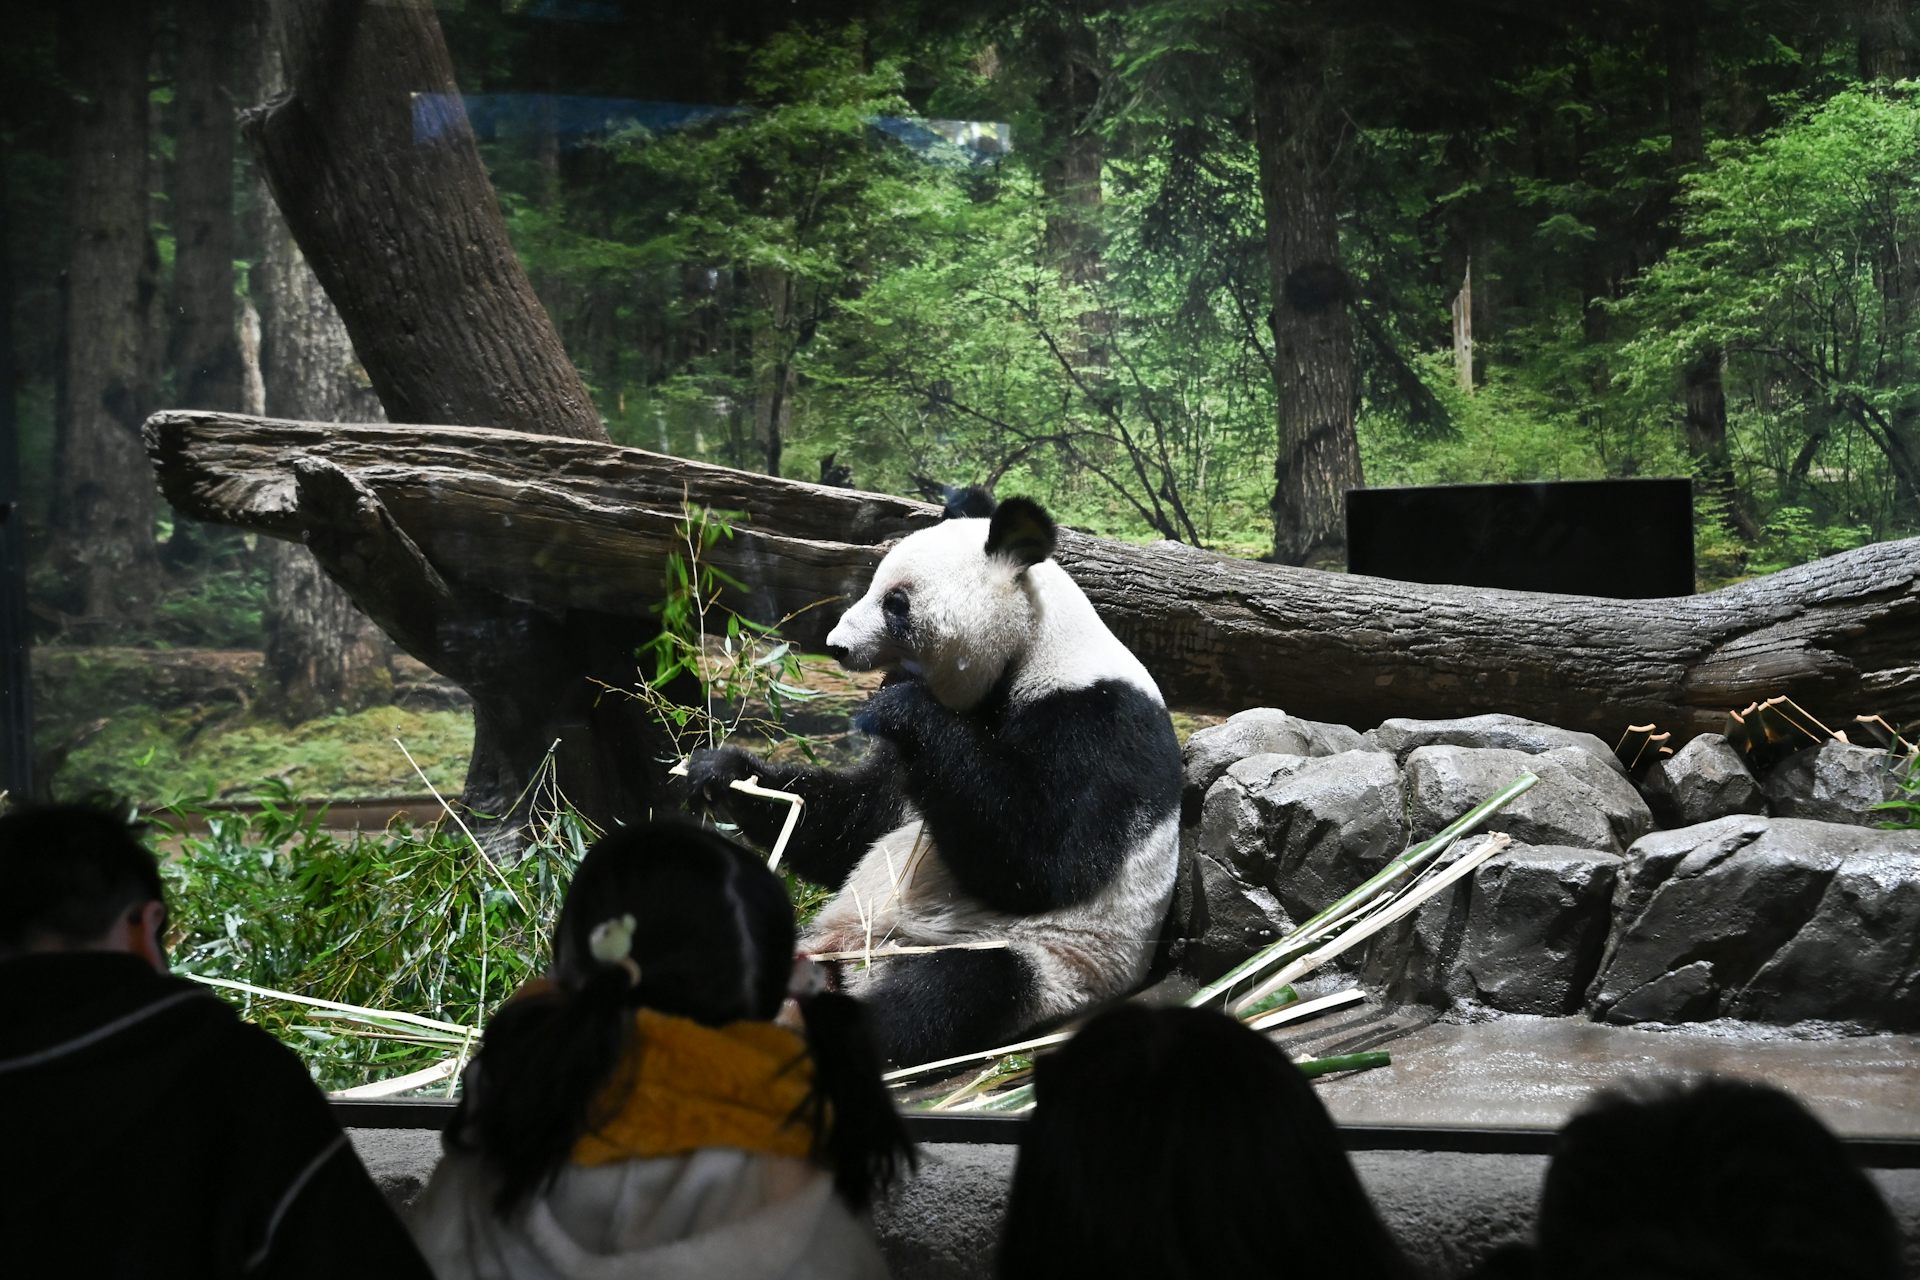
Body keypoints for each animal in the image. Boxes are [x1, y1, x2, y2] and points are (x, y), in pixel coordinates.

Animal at [686, 496, 1184, 1066]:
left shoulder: (1098, 720)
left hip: (1045, 959)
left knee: (948, 992)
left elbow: (1046, 861)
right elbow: (857, 822)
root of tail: (849, 962)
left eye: (896, 602)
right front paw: (720, 773)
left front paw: (898, 705)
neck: (1032, 648)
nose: (837, 646)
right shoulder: (913, 769)